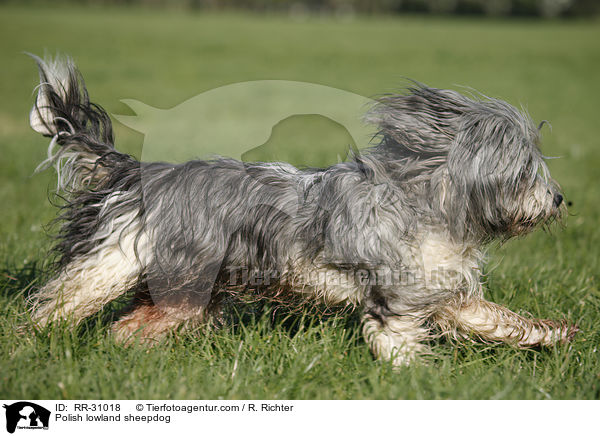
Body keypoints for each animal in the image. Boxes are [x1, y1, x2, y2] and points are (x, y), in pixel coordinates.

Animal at [27, 56, 576, 366]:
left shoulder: (445, 292)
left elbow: (497, 320)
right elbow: (397, 343)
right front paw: (419, 379)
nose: (559, 199)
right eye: (525, 169)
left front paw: (554, 334)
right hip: (130, 264)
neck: (427, 205)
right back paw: (32, 343)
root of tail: (139, 173)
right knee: (65, 304)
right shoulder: (394, 297)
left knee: (129, 326)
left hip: (183, 291)